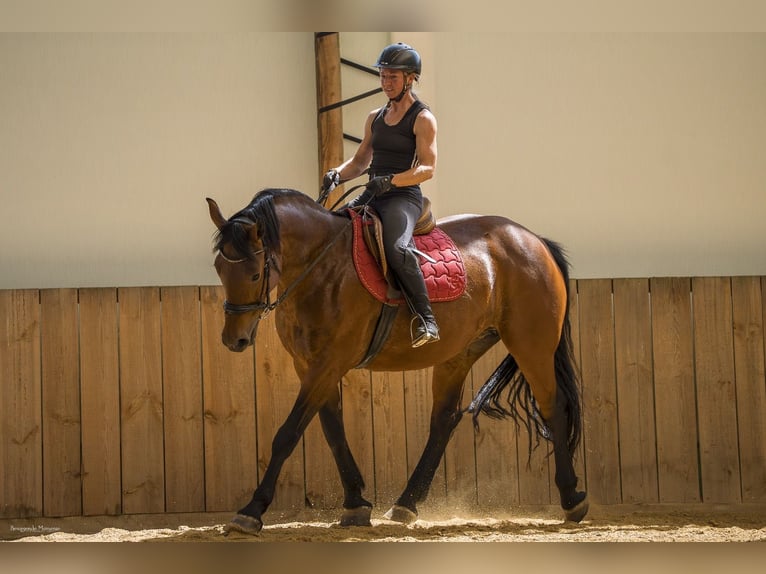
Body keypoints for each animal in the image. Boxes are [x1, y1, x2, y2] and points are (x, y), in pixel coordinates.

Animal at [206, 188, 588, 535]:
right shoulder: (311, 366)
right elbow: (333, 432)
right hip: (460, 352)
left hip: (532, 345)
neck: (322, 267)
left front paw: (251, 511)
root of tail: (532, 239)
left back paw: (572, 499)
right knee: (444, 420)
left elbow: (287, 434)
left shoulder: (328, 364)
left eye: (255, 274)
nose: (234, 339)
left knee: (553, 407)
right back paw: (406, 503)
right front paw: (356, 503)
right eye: (219, 268)